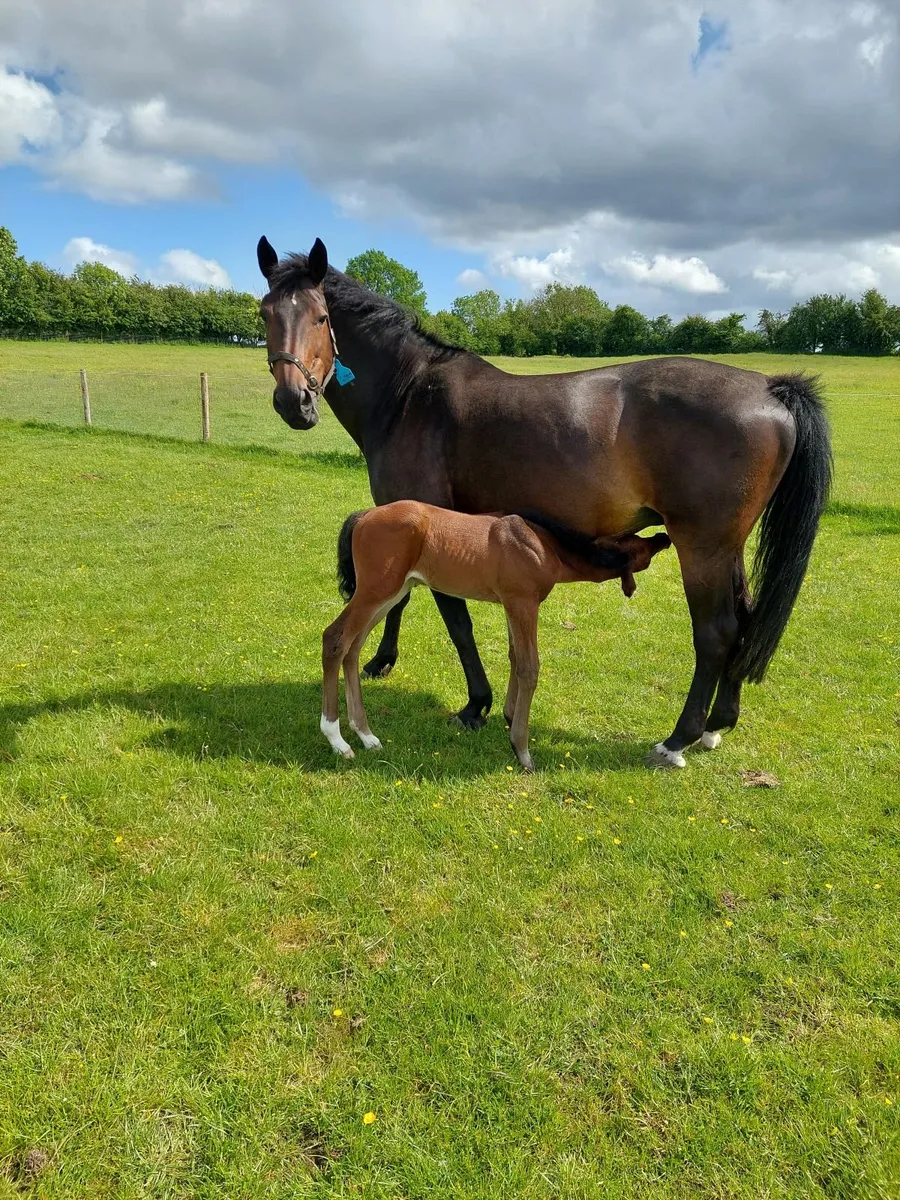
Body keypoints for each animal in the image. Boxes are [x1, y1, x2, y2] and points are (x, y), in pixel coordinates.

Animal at [320, 501, 671, 770]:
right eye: (641, 548)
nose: (665, 537)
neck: (542, 544)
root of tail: (365, 515)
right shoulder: (523, 602)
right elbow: (529, 666)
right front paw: (522, 750)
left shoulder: (511, 605)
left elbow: (514, 656)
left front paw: (510, 716)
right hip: (376, 590)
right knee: (335, 639)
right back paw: (338, 739)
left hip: (393, 592)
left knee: (353, 647)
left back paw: (366, 735)